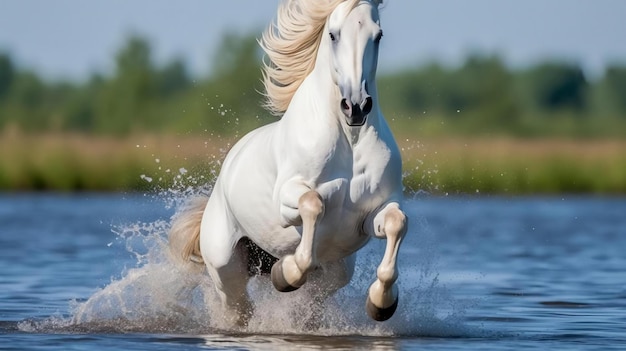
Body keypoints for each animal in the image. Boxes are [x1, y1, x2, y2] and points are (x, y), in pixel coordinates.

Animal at [169, 0, 404, 328]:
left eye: (378, 35)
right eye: (333, 35)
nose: (356, 106)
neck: (350, 141)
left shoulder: (373, 212)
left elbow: (396, 223)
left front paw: (381, 303)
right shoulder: (287, 201)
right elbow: (313, 205)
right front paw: (286, 273)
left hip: (335, 273)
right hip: (225, 267)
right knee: (238, 311)